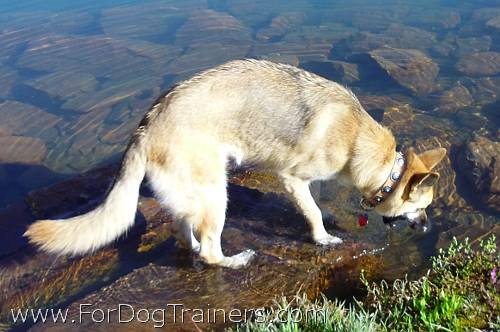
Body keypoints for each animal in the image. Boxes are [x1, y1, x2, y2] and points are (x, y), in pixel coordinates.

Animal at [24, 59, 446, 268]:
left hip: (192, 194)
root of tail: (146, 126)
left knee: (185, 232)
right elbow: (311, 211)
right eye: (422, 206)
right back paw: (235, 261)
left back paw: (195, 248)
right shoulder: (292, 179)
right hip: (216, 193)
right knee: (210, 250)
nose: (428, 228)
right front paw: (323, 237)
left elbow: (317, 203)